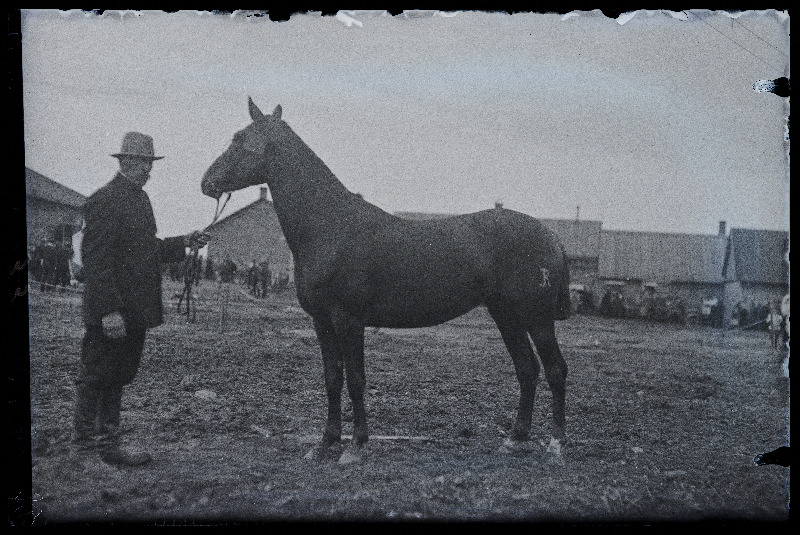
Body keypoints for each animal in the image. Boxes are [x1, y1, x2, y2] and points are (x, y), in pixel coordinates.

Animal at [203, 99, 572, 464]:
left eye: (238, 138)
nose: (206, 182)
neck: (331, 227)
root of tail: (549, 236)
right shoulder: (322, 321)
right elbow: (332, 378)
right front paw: (324, 443)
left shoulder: (349, 320)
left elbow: (355, 380)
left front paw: (355, 446)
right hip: (506, 315)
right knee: (527, 369)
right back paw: (514, 439)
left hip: (537, 318)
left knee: (555, 369)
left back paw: (555, 444)